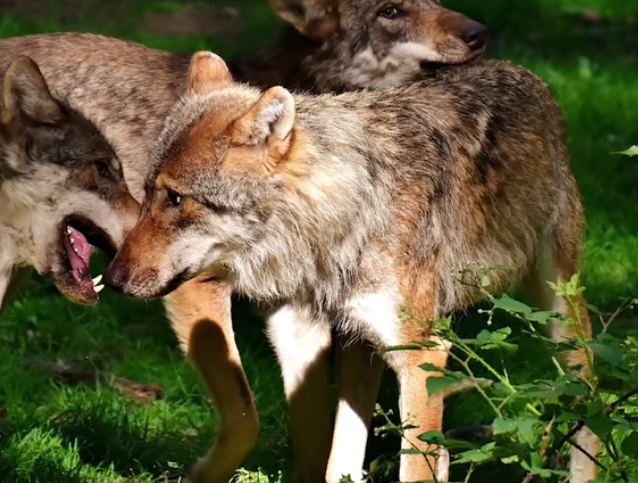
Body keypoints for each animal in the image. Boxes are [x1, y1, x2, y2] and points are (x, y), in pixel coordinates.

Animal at [105, 52, 600, 483]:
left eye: (175, 198)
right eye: (147, 193)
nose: (112, 279)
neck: (342, 218)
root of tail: (525, 73)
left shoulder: (421, 357)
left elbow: (411, 469)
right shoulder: (298, 332)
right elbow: (321, 456)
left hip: (558, 319)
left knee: (587, 405)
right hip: (365, 348)